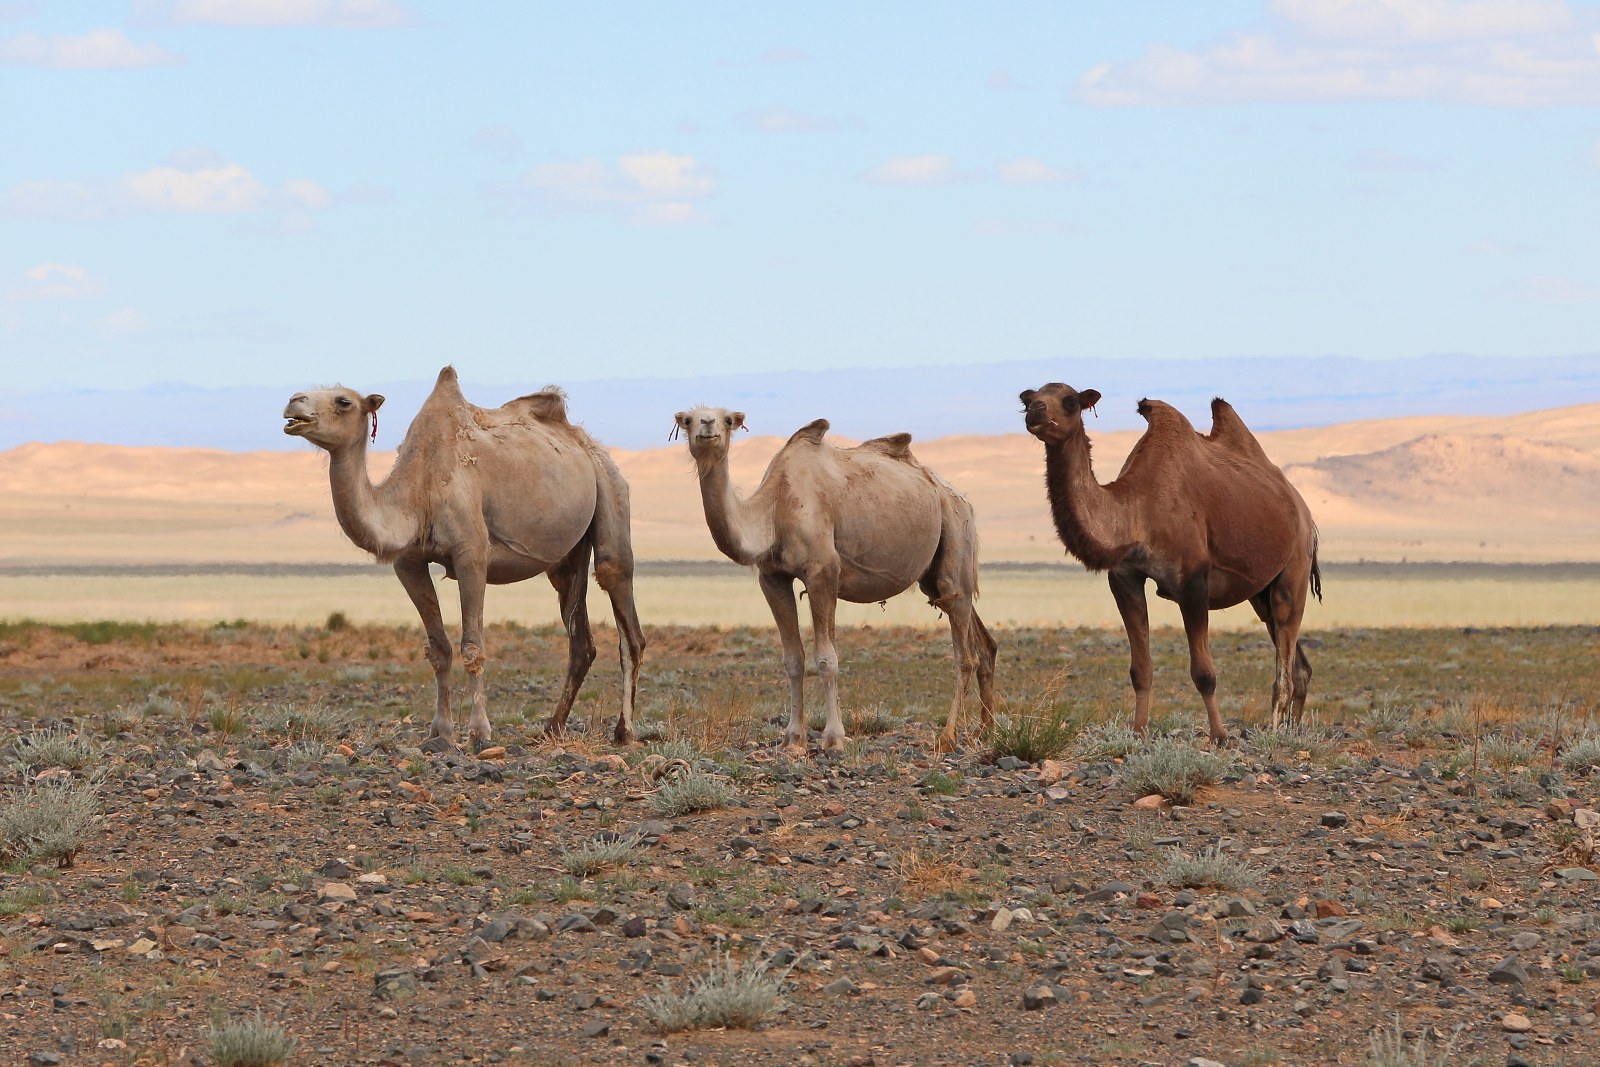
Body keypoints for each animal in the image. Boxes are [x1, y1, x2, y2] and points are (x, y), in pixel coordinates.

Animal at [283, 367, 645, 751]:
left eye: (343, 401)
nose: (293, 402)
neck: (418, 491)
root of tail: (585, 442)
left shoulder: (471, 555)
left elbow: (472, 647)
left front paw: (479, 731)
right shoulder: (409, 563)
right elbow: (439, 649)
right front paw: (440, 729)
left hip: (610, 487)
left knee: (619, 593)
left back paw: (624, 731)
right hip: (568, 552)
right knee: (580, 637)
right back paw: (553, 726)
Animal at [673, 407, 996, 755]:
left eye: (728, 420)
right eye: (688, 420)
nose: (707, 425)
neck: (775, 509)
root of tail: (962, 500)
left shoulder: (823, 572)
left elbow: (827, 659)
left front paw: (834, 736)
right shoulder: (772, 577)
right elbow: (793, 659)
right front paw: (793, 736)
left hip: (955, 537)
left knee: (965, 652)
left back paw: (949, 736)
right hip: (934, 574)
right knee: (982, 642)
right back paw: (987, 730)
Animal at [1019, 384, 1321, 742]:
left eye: (1070, 401)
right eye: (1030, 397)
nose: (1035, 411)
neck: (1136, 512)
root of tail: (1303, 509)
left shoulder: (1192, 581)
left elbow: (1204, 672)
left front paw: (1219, 736)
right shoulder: (1125, 578)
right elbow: (1140, 669)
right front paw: (1138, 732)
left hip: (1295, 564)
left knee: (1285, 649)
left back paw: (1274, 731)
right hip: (1260, 592)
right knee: (1297, 662)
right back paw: (1293, 729)